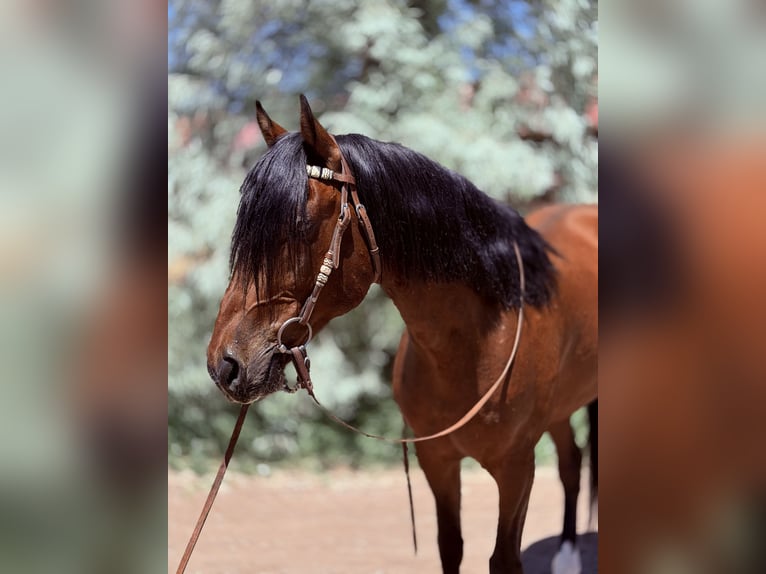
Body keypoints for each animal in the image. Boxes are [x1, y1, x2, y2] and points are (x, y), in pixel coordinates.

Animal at [207, 96, 598, 574]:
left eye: (299, 229)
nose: (224, 365)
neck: (473, 346)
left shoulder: (517, 469)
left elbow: (503, 558)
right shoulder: (438, 463)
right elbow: (451, 546)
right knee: (573, 460)